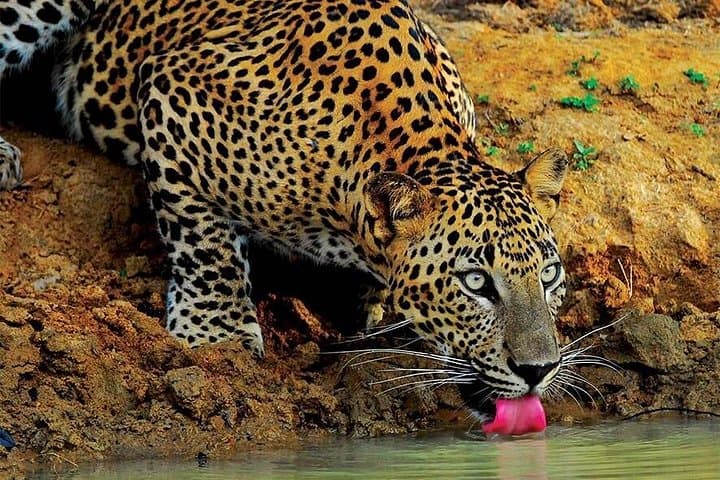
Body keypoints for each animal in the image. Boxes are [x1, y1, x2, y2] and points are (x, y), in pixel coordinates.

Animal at [0, 0, 569, 422]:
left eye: (549, 275)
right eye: (475, 282)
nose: (539, 369)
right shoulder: (174, 88)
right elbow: (203, 242)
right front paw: (218, 334)